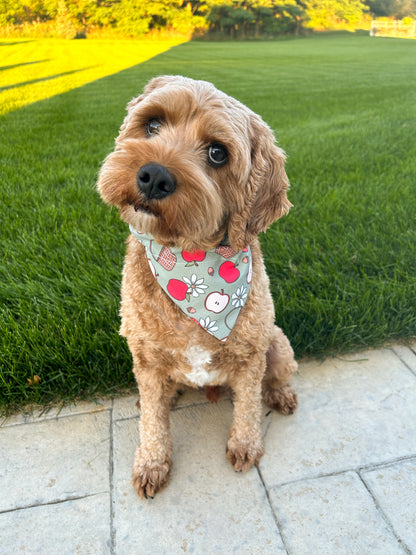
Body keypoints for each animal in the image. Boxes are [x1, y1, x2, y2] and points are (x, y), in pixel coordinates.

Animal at [97, 77, 300, 500]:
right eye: (152, 124)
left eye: (218, 153)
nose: (153, 176)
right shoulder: (146, 358)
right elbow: (153, 422)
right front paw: (152, 463)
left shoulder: (251, 356)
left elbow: (248, 406)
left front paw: (246, 445)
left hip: (277, 343)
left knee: (274, 378)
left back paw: (280, 394)